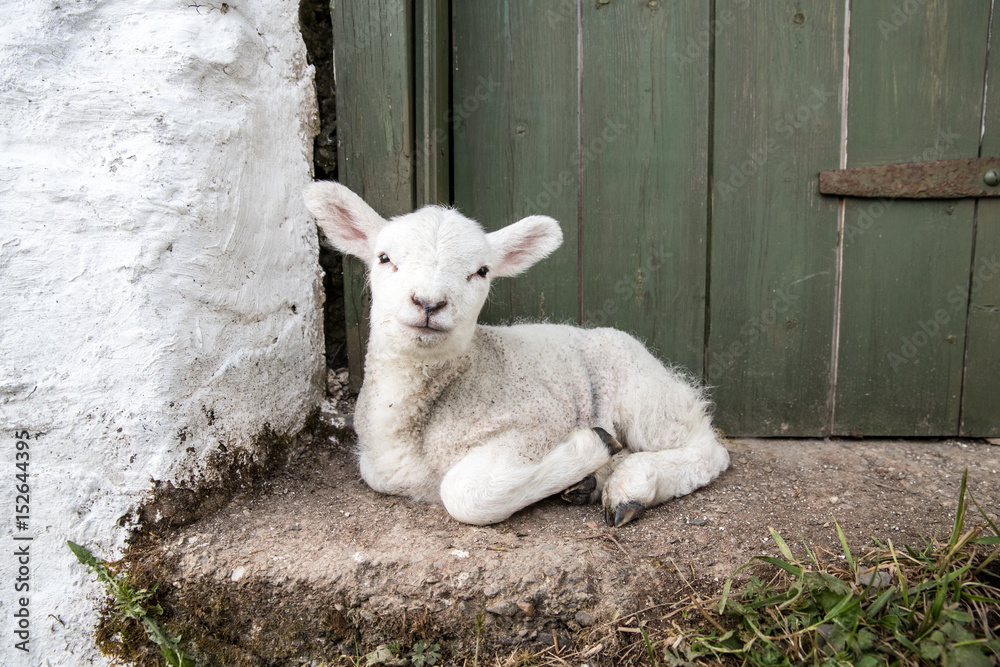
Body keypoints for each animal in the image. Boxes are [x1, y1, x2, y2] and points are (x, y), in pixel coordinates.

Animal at [300, 181, 732, 528]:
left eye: (482, 271)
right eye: (384, 258)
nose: (429, 303)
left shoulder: (535, 423)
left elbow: (465, 494)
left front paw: (590, 447)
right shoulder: (377, 466)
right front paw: (591, 463)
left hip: (642, 394)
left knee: (708, 449)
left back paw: (631, 485)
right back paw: (591, 481)